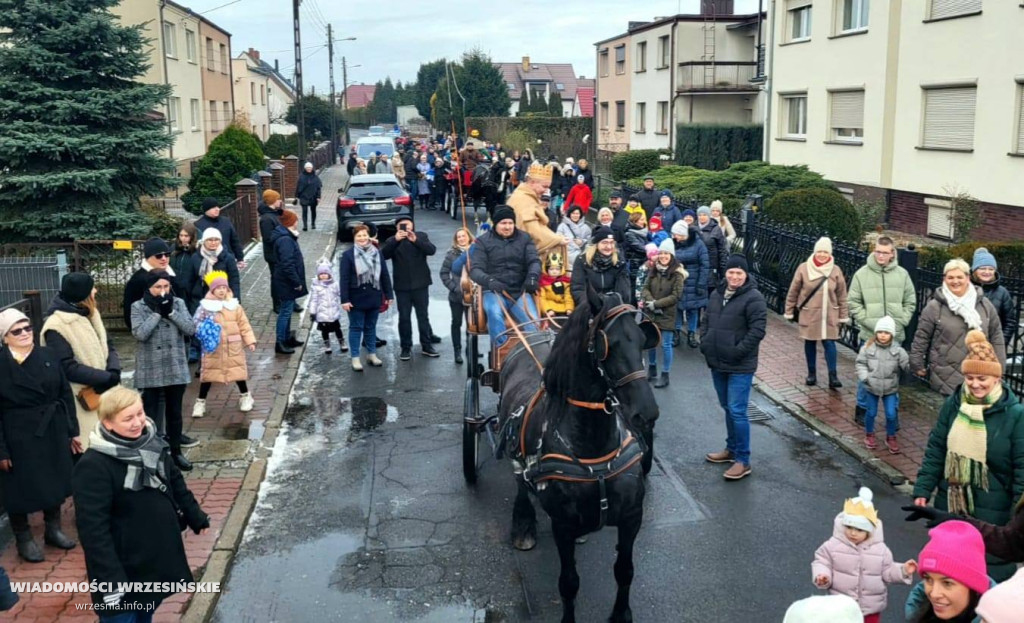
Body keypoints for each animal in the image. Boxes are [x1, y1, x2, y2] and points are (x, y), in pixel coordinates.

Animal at [497, 288, 659, 623]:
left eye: (642, 339)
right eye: (608, 345)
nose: (646, 412)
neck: (593, 455)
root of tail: (535, 334)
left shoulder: (632, 516)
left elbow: (625, 571)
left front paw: (621, 614)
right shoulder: (563, 525)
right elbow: (569, 583)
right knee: (519, 481)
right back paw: (523, 526)